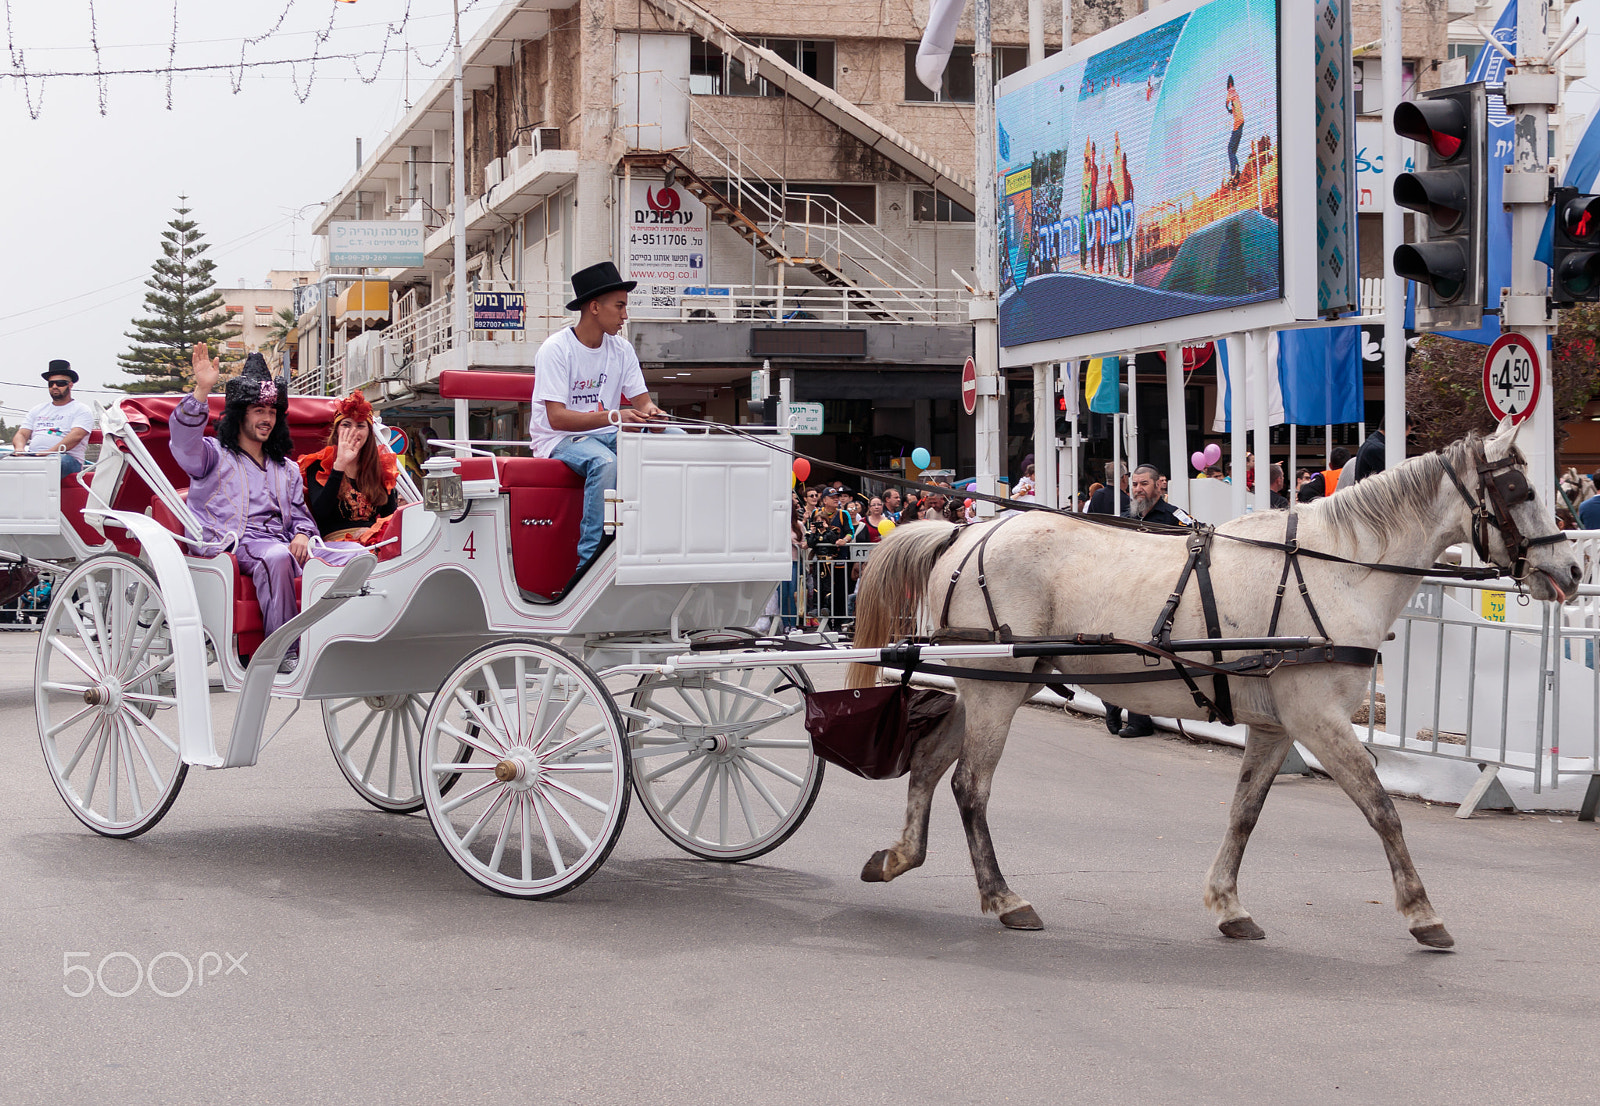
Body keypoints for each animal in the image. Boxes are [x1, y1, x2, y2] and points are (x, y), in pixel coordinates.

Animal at [851, 419, 1574, 947]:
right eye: (1521, 491)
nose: (1569, 570)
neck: (1337, 568)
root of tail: (962, 533)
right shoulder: (1318, 720)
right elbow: (1381, 809)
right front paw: (1422, 912)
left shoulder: (1277, 726)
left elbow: (1245, 812)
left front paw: (1228, 904)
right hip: (997, 691)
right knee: (970, 787)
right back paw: (1004, 898)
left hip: (991, 686)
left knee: (929, 764)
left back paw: (897, 857)